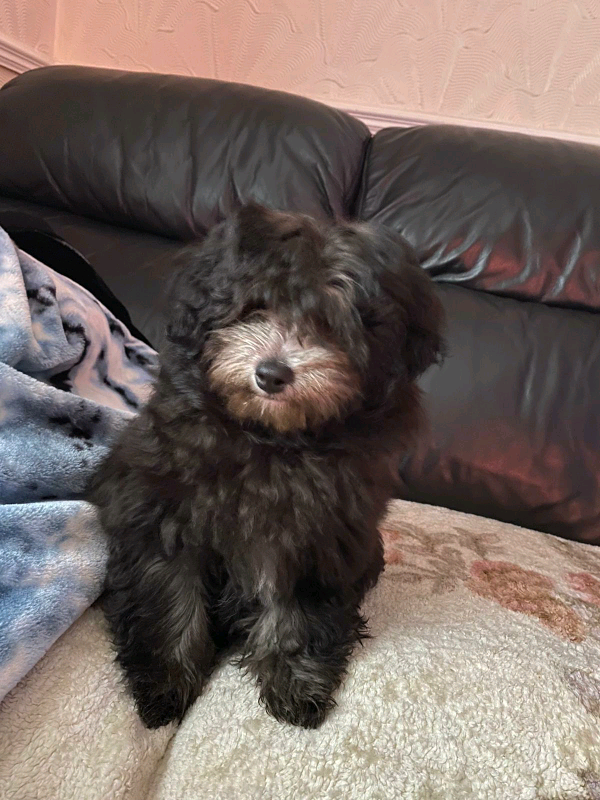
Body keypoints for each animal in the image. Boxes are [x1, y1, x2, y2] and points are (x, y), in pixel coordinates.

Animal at [89, 203, 446, 728]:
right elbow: (171, 599)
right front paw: (166, 684)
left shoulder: (316, 538)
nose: (271, 374)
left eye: (328, 324)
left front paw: (295, 680)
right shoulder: (164, 517)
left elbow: (297, 609)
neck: (270, 438)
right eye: (254, 309)